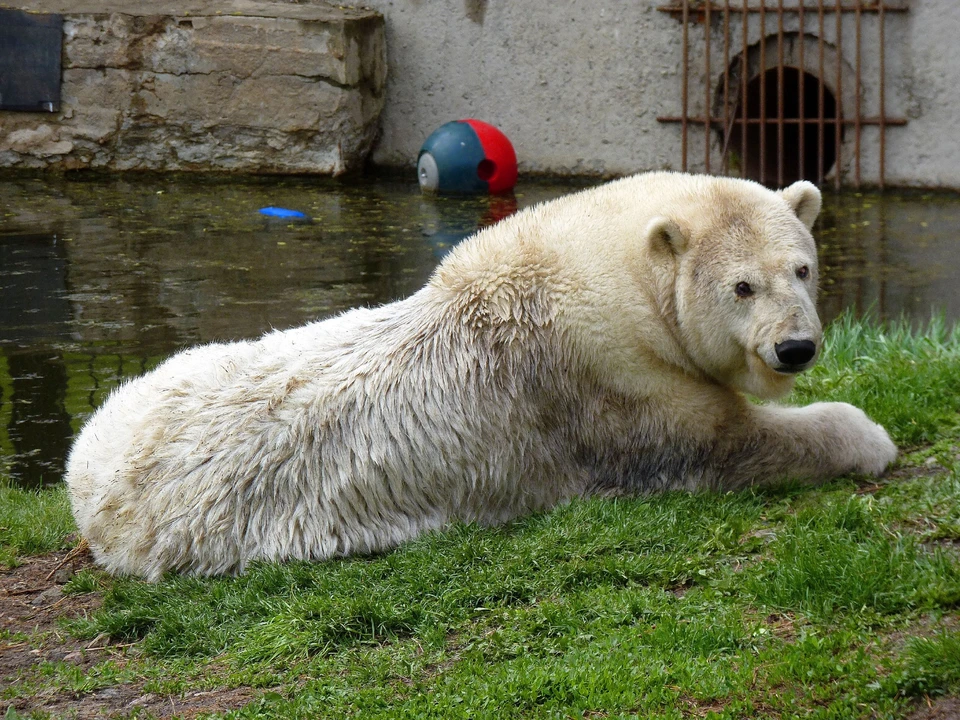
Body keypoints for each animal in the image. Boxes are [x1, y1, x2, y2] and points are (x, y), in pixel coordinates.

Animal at [63, 170, 896, 580]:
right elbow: (722, 443)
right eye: (742, 287)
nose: (796, 348)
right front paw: (866, 435)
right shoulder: (611, 381)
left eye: (802, 268)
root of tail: (82, 475)